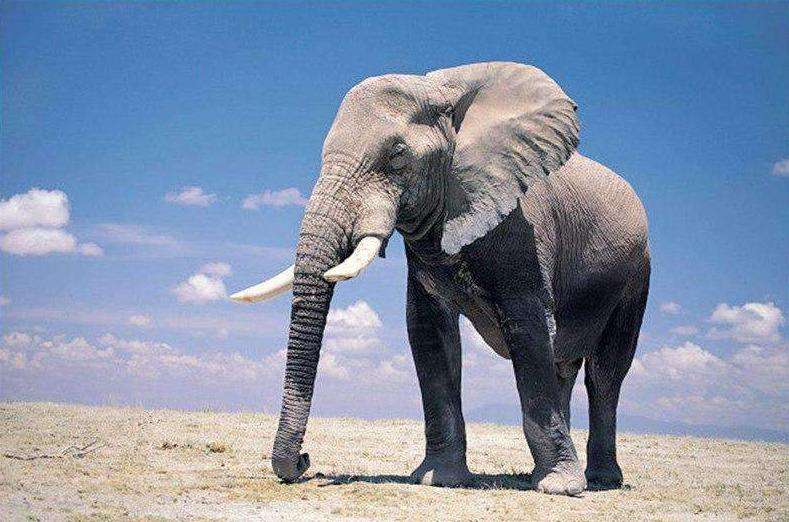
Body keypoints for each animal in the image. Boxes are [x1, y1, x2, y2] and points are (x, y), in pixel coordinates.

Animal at [232, 62, 650, 496]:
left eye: (398, 155)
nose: (304, 460)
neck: (438, 89)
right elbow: (429, 332)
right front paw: (441, 479)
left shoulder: (526, 230)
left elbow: (529, 329)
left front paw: (560, 489)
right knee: (564, 365)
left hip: (636, 273)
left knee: (606, 372)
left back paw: (599, 479)